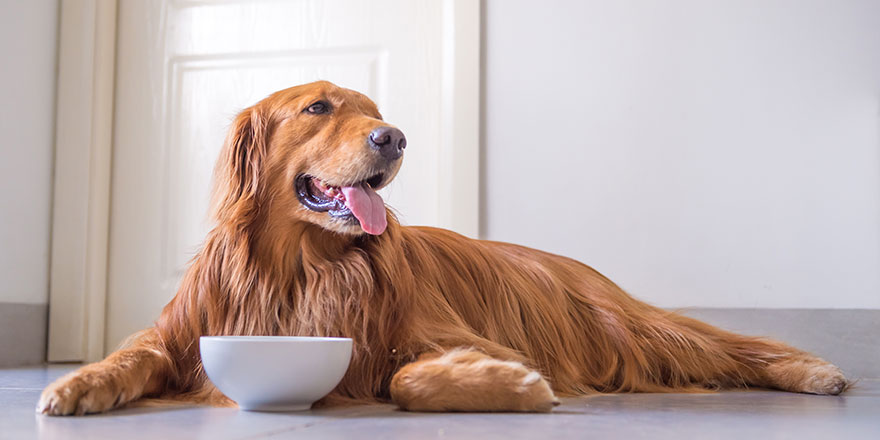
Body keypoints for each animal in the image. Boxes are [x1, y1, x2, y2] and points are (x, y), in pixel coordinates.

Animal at [36, 82, 844, 416]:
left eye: (379, 111)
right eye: (319, 107)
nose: (393, 137)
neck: (302, 266)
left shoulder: (444, 335)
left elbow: (405, 378)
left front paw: (516, 387)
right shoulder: (179, 333)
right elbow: (128, 357)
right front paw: (73, 387)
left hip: (625, 324)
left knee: (724, 344)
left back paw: (813, 370)